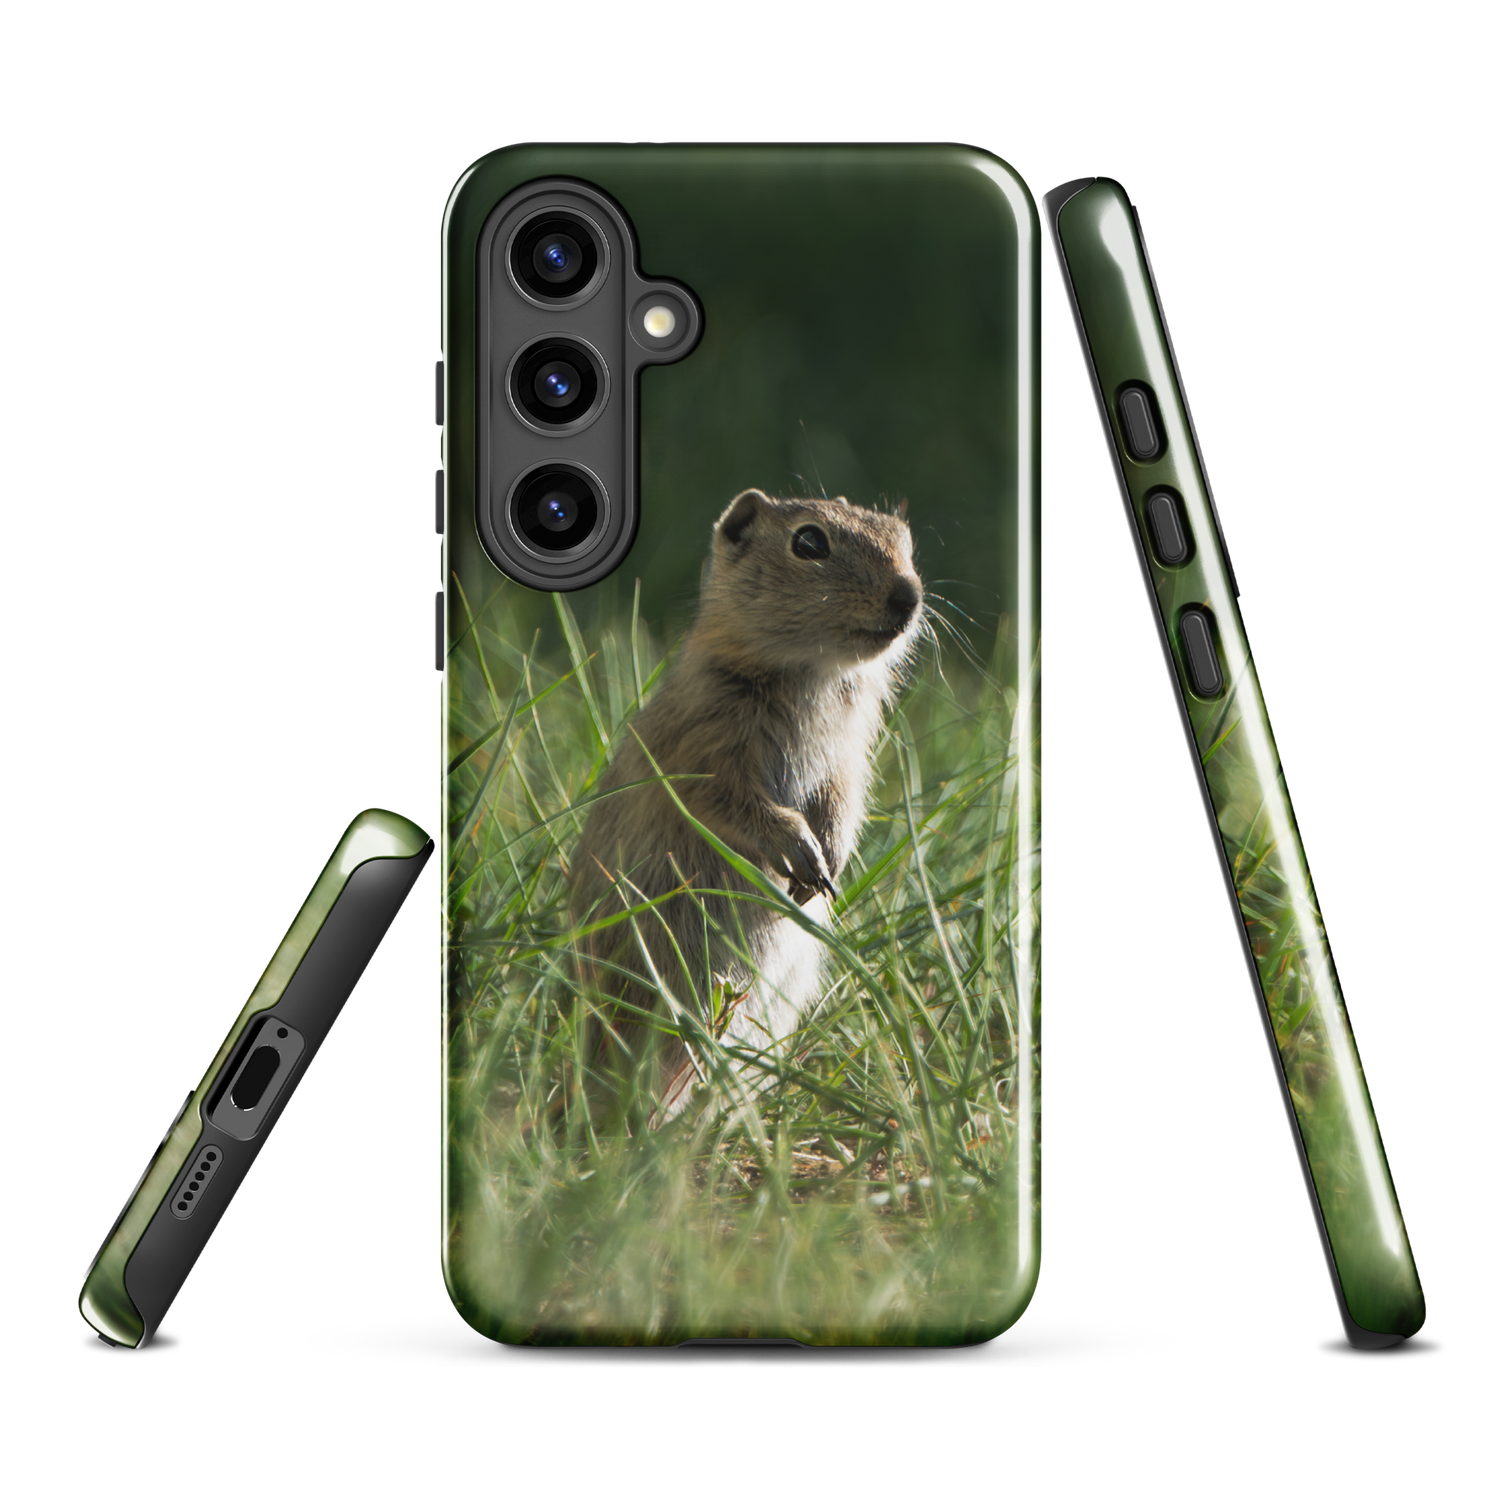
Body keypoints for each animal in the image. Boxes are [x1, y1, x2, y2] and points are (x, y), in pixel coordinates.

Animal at [571, 488, 924, 1123]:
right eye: (809, 541)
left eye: (905, 542)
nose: (908, 597)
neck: (812, 673)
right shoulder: (705, 750)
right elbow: (735, 803)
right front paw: (803, 855)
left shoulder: (850, 758)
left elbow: (843, 802)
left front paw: (826, 868)